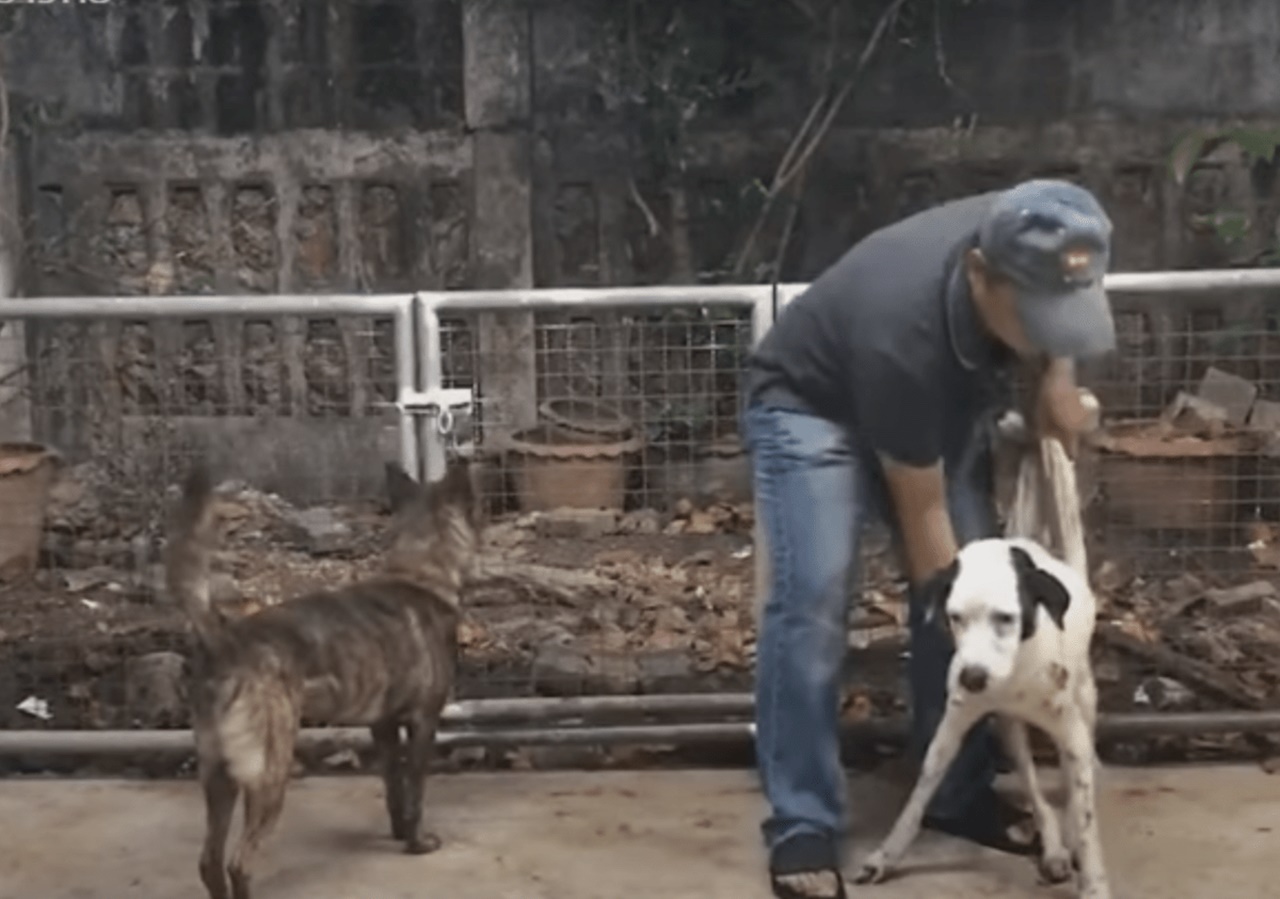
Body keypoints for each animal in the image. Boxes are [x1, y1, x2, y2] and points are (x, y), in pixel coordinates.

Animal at [172, 461, 481, 896]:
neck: (419, 574)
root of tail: (223, 640)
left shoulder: (383, 726)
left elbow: (394, 787)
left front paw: (399, 833)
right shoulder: (423, 723)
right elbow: (416, 788)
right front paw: (417, 843)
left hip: (219, 775)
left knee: (210, 863)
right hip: (268, 772)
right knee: (239, 864)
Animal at [855, 537, 1116, 896]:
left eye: (1005, 618)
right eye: (955, 617)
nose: (973, 678)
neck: (1014, 675)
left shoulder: (1071, 733)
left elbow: (1086, 818)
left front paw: (1094, 884)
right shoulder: (951, 728)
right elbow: (920, 793)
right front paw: (886, 855)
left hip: (1085, 700)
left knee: (1074, 778)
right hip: (1010, 733)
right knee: (1035, 791)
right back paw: (1053, 849)